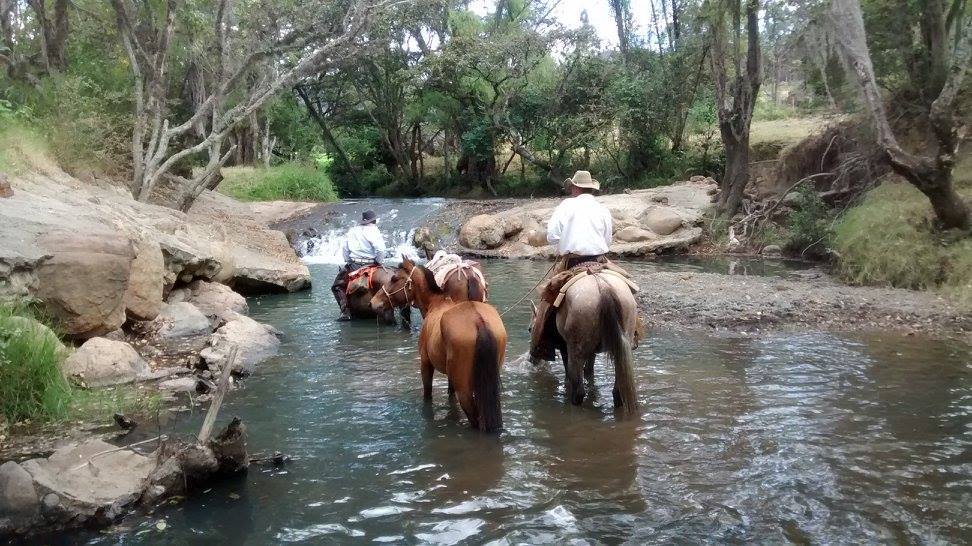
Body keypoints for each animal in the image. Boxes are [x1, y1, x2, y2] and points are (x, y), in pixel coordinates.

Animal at [372, 258, 508, 432]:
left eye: (394, 278)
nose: (373, 302)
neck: (435, 303)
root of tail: (479, 321)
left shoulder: (425, 363)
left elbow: (427, 394)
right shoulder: (451, 375)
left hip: (465, 389)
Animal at [532, 272, 636, 412]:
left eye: (530, 329)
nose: (532, 359)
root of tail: (603, 287)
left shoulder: (565, 347)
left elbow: (568, 375)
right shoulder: (592, 351)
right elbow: (589, 371)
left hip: (576, 351)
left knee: (578, 392)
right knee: (618, 392)